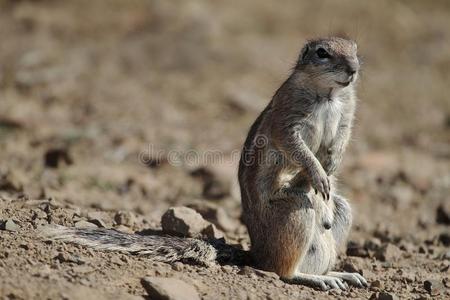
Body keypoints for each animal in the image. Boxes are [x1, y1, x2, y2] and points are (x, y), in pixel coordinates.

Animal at [39, 35, 366, 290]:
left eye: (355, 49)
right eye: (322, 53)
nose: (353, 69)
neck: (329, 95)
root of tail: (255, 253)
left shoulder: (347, 116)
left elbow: (342, 139)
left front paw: (331, 167)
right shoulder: (287, 118)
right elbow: (296, 147)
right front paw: (317, 173)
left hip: (341, 212)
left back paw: (343, 274)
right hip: (295, 210)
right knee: (281, 270)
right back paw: (316, 278)